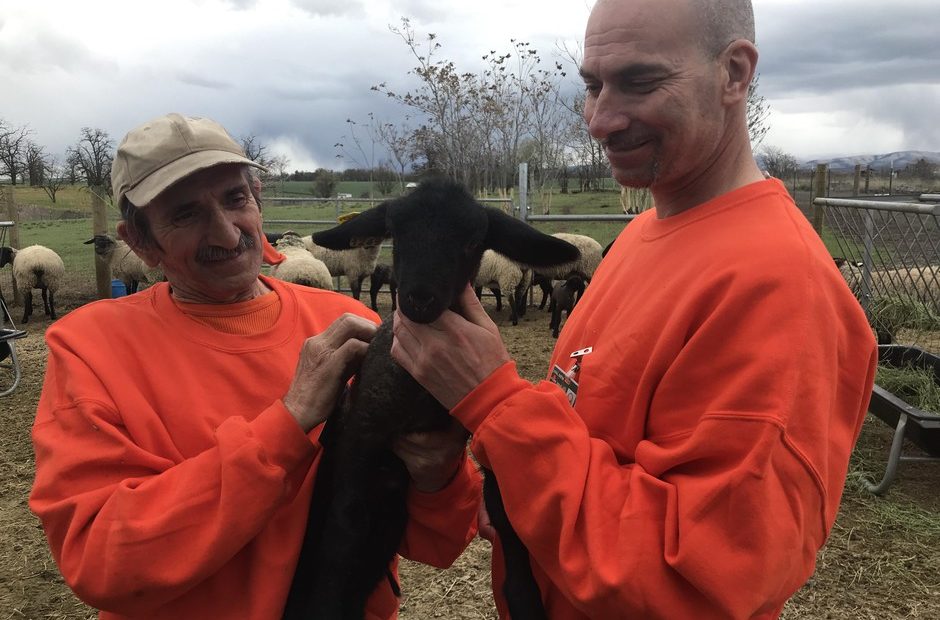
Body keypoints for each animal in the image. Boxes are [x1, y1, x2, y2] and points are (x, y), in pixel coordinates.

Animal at [282, 177, 580, 620]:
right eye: (396, 233)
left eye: (473, 241)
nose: (419, 298)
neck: (419, 392)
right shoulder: (361, 433)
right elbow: (344, 526)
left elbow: (506, 516)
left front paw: (525, 600)